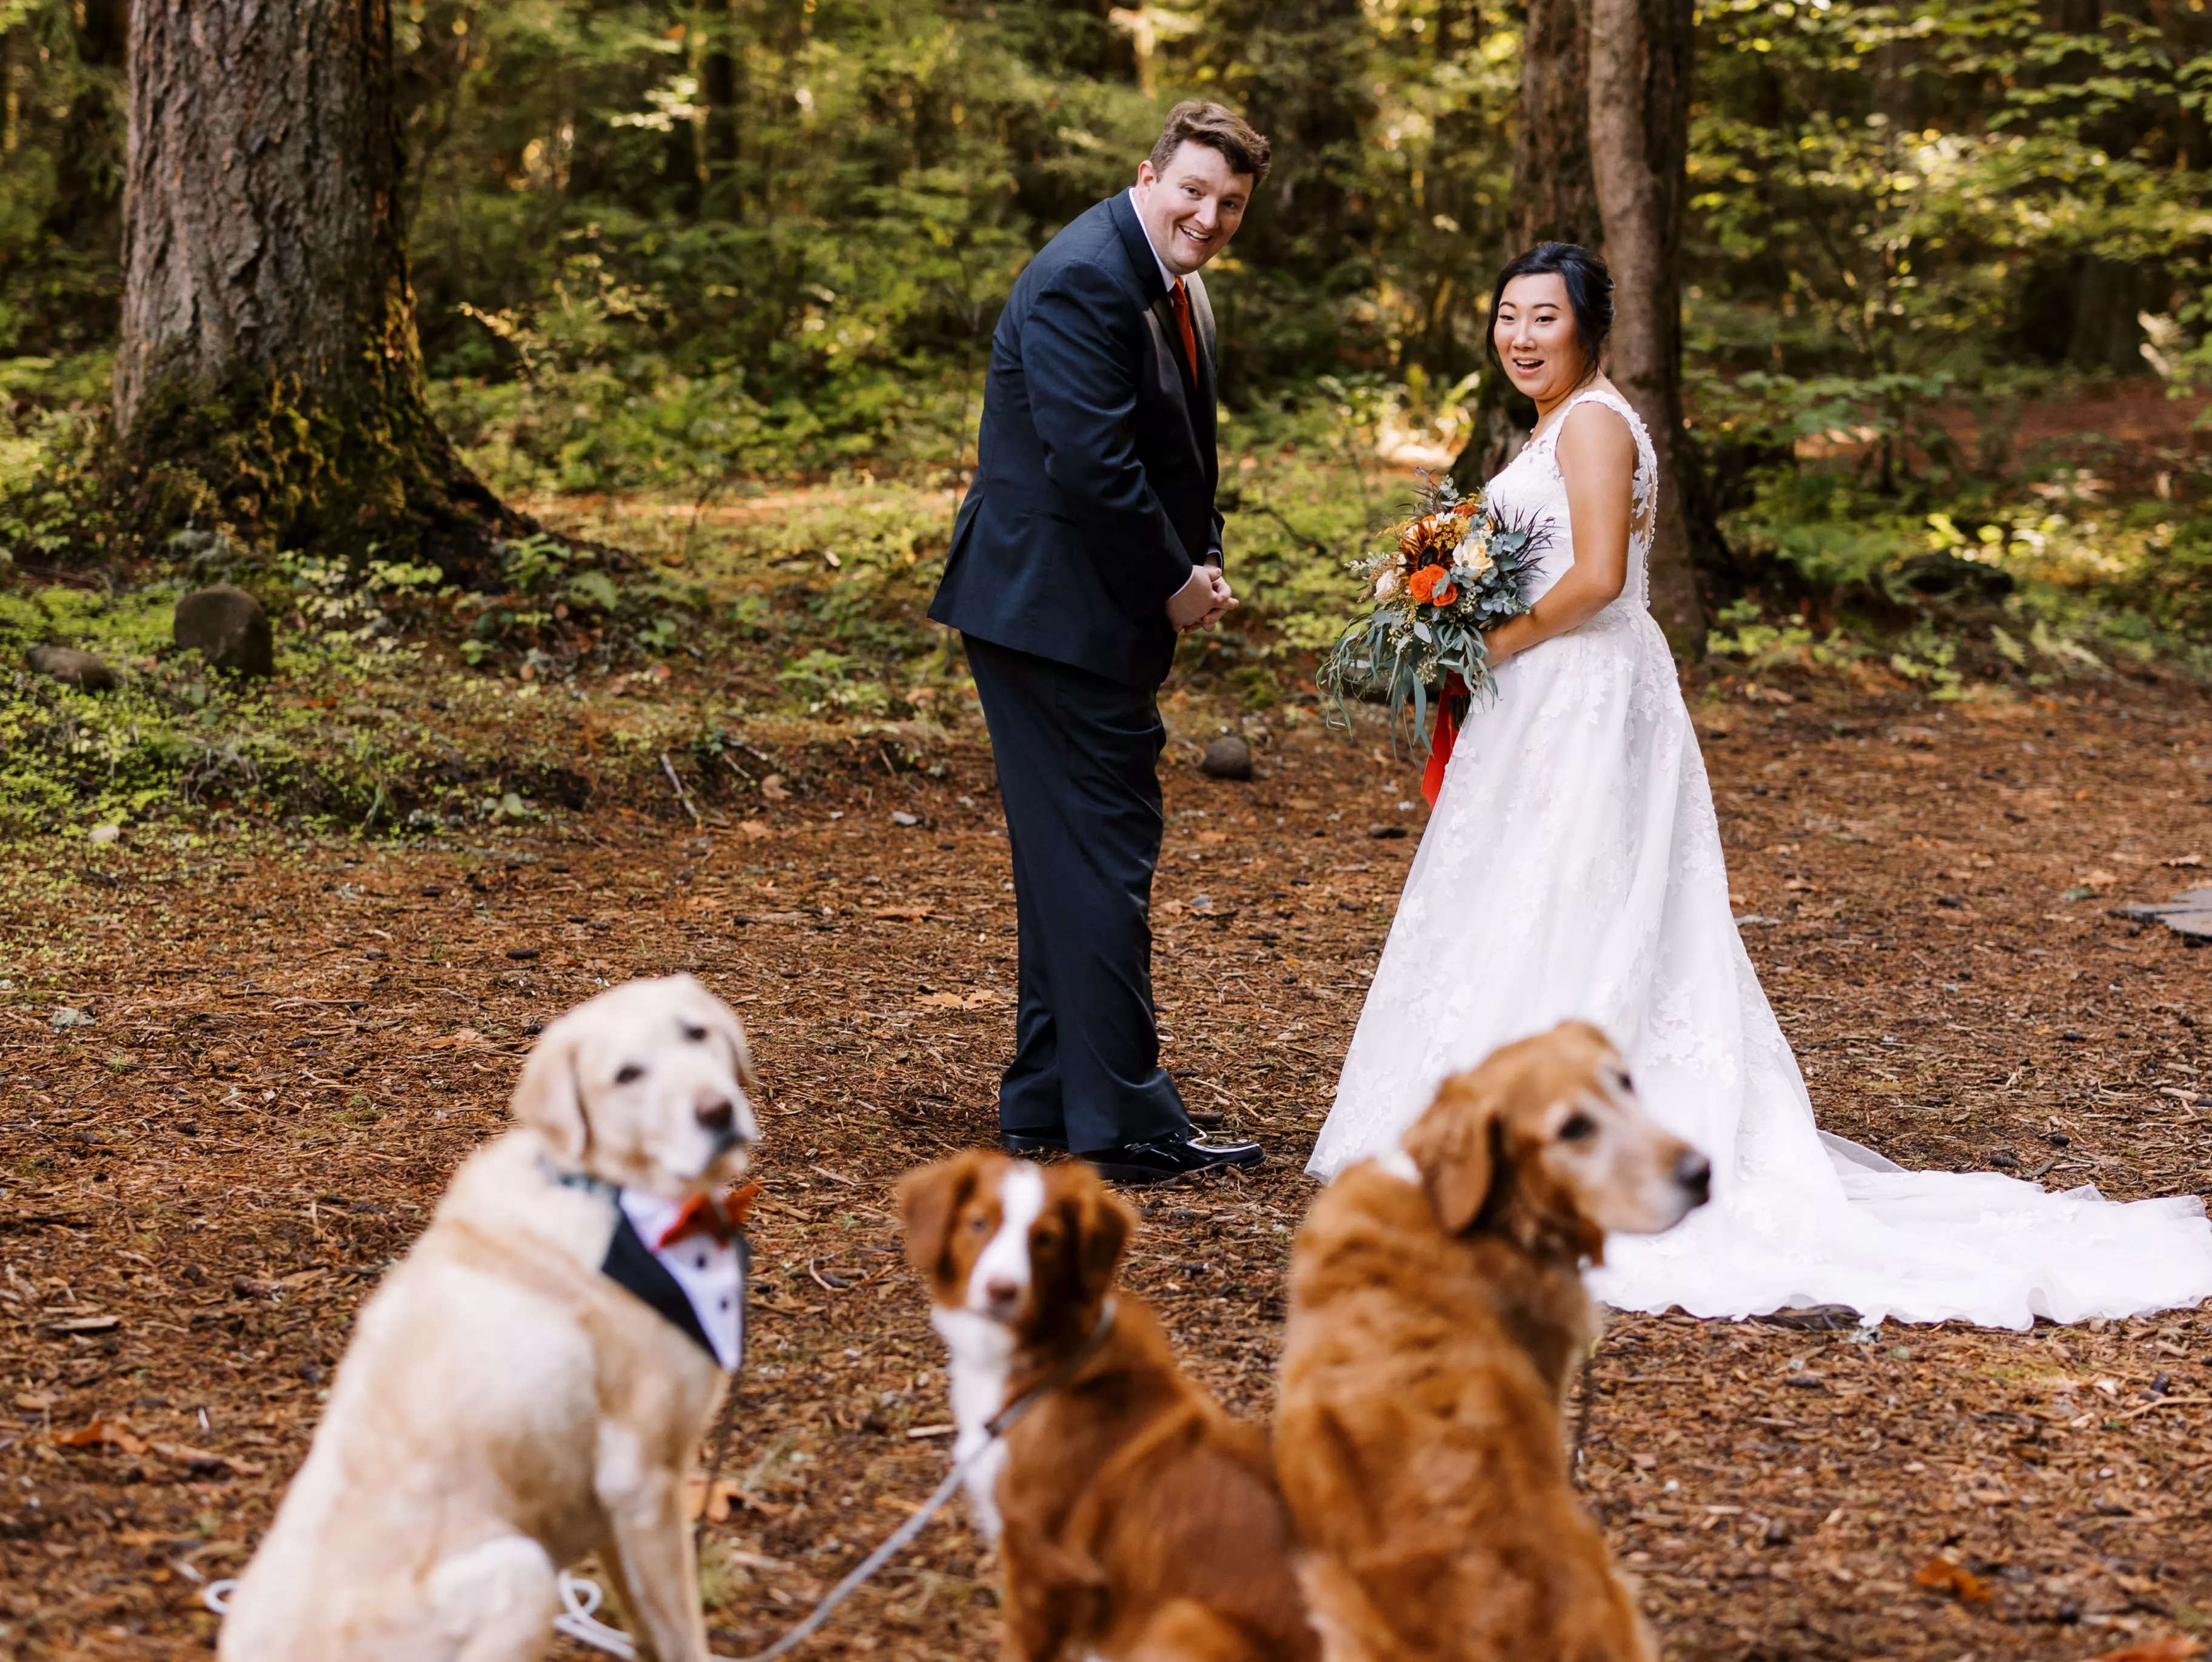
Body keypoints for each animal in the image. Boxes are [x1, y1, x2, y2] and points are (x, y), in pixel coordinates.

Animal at [219, 973, 760, 1662]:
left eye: (697, 1032)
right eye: (627, 1074)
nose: (716, 1111)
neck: (610, 1195)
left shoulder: (612, 1514)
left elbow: (647, 1630)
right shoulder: (644, 1485)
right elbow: (683, 1635)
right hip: (523, 1572)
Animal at [893, 1150, 1309, 1662]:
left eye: (1046, 1239)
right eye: (978, 1222)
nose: (1002, 1290)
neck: (1041, 1362)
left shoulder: (1044, 1565)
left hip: (1184, 1618)